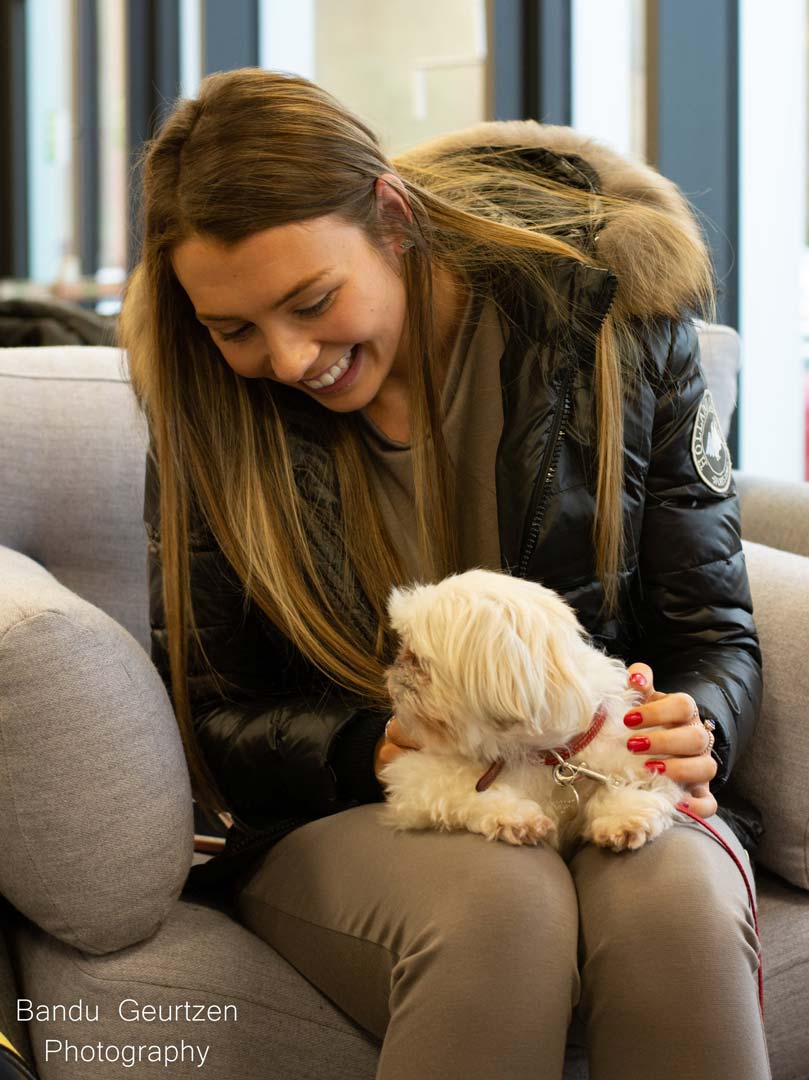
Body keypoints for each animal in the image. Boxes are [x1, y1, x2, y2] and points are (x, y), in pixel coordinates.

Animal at [378, 565, 682, 851]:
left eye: (417, 659)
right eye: (404, 648)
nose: (396, 668)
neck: (546, 755)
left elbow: (633, 781)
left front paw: (623, 815)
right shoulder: (417, 778)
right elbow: (458, 786)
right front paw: (514, 817)